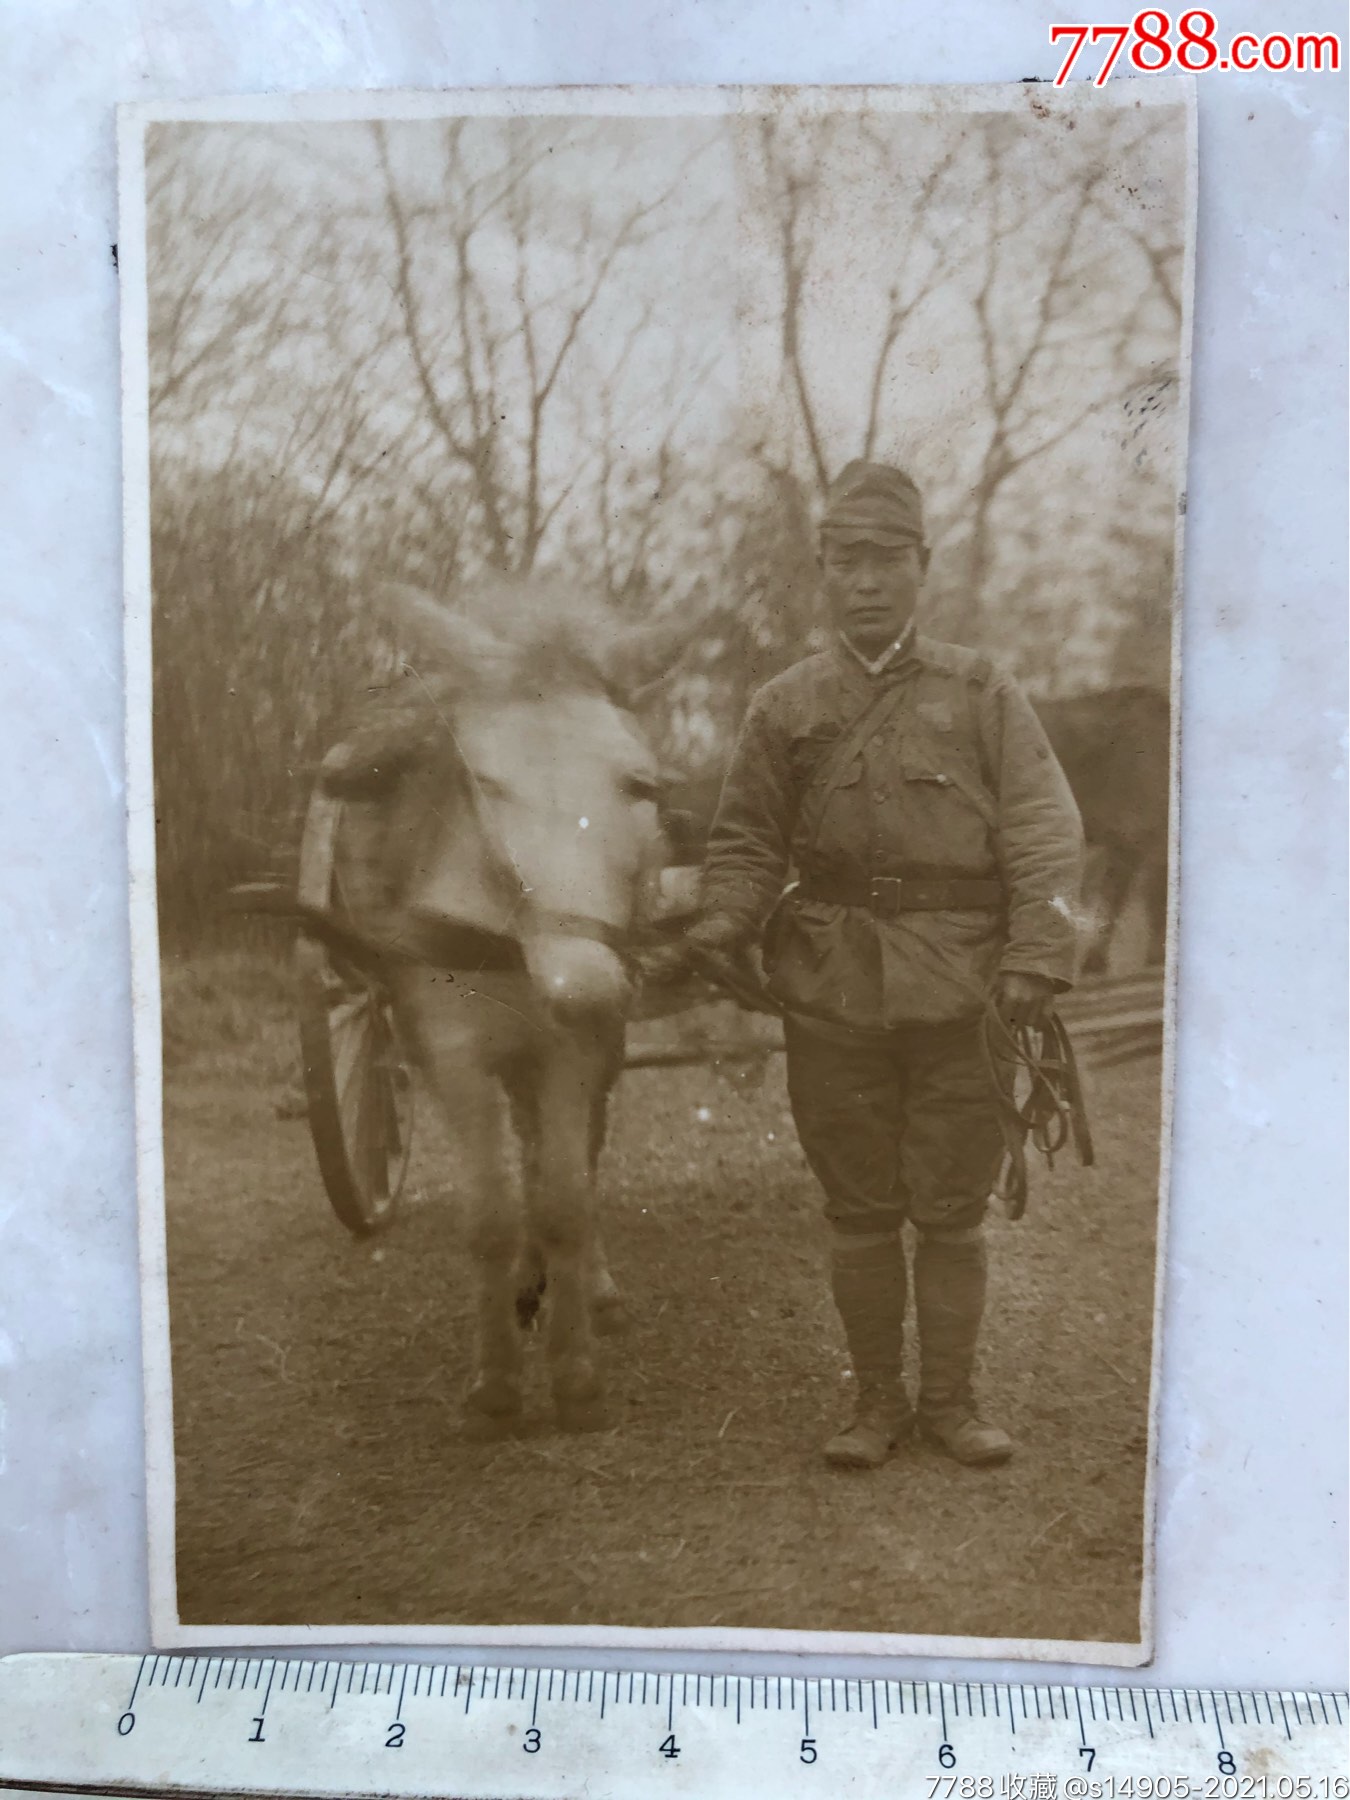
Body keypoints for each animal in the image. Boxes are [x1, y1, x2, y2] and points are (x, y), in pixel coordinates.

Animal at [322, 583, 687, 1440]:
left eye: (640, 786)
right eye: (484, 784)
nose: (584, 984)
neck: (511, 943)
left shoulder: (575, 1048)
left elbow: (566, 1199)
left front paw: (576, 1376)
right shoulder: (452, 1051)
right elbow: (491, 1215)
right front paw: (495, 1384)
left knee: (572, 1156)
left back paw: (581, 1285)